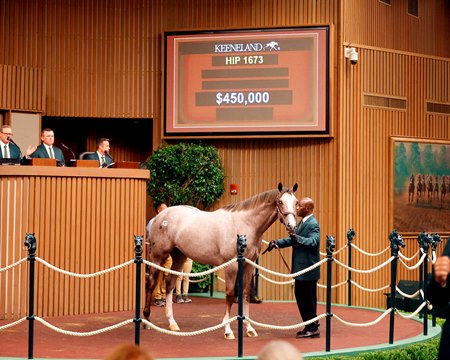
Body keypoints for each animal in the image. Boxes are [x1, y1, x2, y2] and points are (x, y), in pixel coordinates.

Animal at [144, 184, 298, 338]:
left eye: (296, 202)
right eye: (280, 202)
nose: (292, 226)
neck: (244, 224)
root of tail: (160, 217)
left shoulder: (248, 265)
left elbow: (245, 294)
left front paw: (249, 329)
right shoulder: (231, 266)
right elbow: (229, 295)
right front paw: (228, 330)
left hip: (179, 256)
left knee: (170, 283)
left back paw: (172, 322)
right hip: (158, 256)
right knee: (151, 283)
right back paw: (146, 321)